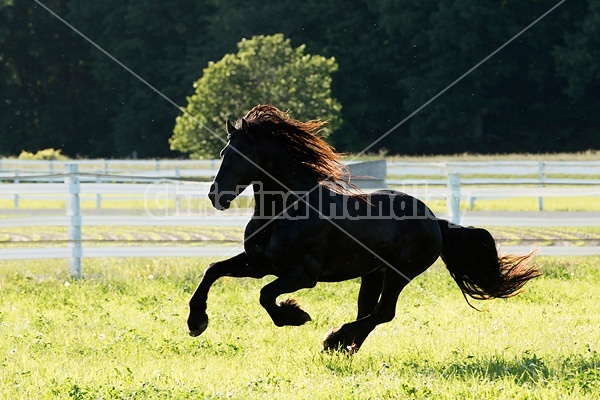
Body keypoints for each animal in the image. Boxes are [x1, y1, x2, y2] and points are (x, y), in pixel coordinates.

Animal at [186, 105, 540, 354]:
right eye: (223, 153)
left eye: (239, 154)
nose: (215, 195)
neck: (287, 211)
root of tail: (435, 222)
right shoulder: (260, 264)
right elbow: (212, 270)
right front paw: (196, 322)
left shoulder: (303, 274)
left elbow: (265, 295)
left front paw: (295, 316)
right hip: (372, 274)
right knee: (369, 312)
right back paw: (344, 345)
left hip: (400, 272)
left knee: (384, 312)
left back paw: (335, 340)